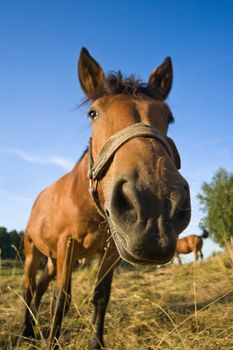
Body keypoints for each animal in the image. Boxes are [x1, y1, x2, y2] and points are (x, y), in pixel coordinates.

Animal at [21, 47, 191, 348]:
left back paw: (31, 331)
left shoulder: (110, 249)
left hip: (51, 260)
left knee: (39, 287)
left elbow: (101, 297)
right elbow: (60, 301)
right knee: (29, 288)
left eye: (168, 117)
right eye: (93, 113)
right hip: (33, 252)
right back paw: (23, 332)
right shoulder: (67, 245)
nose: (155, 206)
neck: (84, 200)